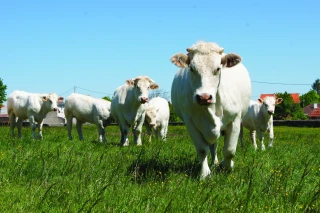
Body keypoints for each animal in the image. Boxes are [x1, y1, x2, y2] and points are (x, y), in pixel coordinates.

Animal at [171, 40, 251, 179]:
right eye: (192, 68)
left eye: (218, 68)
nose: (204, 97)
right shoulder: (190, 122)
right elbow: (202, 149)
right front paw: (205, 173)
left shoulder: (235, 120)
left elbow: (229, 150)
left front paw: (227, 166)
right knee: (213, 146)